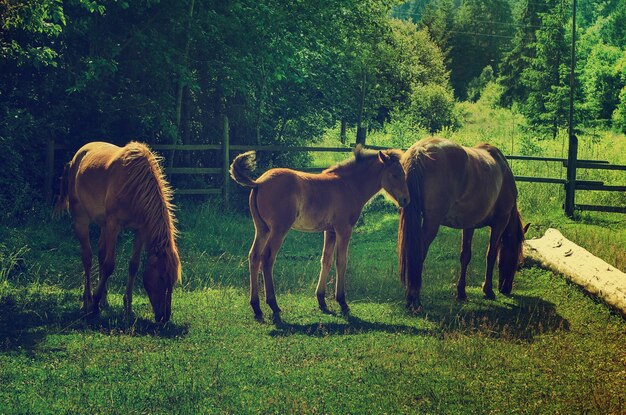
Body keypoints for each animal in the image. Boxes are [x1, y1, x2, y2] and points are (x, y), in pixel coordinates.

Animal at [54, 141, 182, 324]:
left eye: (173, 281)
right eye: (162, 278)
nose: (164, 317)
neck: (135, 186)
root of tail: (75, 158)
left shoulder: (139, 231)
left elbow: (133, 265)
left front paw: (127, 307)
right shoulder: (114, 226)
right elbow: (109, 265)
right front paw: (94, 304)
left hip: (103, 226)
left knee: (100, 255)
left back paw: (104, 300)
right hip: (81, 220)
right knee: (87, 258)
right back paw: (87, 301)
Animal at [229, 145, 410, 318]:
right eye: (394, 175)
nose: (406, 199)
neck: (349, 185)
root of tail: (259, 182)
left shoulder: (330, 231)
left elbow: (326, 260)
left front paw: (321, 300)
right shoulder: (344, 229)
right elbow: (341, 262)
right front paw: (342, 301)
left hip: (262, 229)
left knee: (254, 257)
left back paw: (256, 307)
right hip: (278, 229)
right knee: (267, 258)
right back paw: (273, 304)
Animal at [394, 138, 528, 310]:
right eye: (518, 262)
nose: (506, 288)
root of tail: (420, 151)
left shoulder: (469, 225)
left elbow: (465, 256)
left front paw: (461, 292)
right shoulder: (500, 222)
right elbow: (490, 254)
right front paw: (488, 290)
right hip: (432, 224)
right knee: (418, 252)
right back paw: (414, 298)